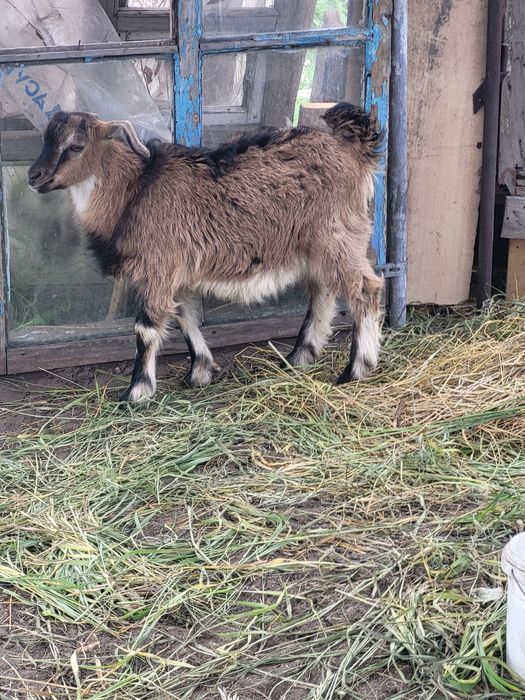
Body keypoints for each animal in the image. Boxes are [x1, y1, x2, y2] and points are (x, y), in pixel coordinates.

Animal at [28, 104, 384, 403]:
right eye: (45, 139)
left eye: (76, 146)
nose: (34, 177)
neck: (135, 192)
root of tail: (353, 149)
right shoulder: (177, 273)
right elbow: (184, 316)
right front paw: (199, 372)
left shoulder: (159, 267)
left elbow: (146, 328)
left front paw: (137, 392)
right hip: (318, 246)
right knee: (323, 291)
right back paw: (299, 357)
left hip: (336, 236)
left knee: (365, 289)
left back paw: (356, 369)